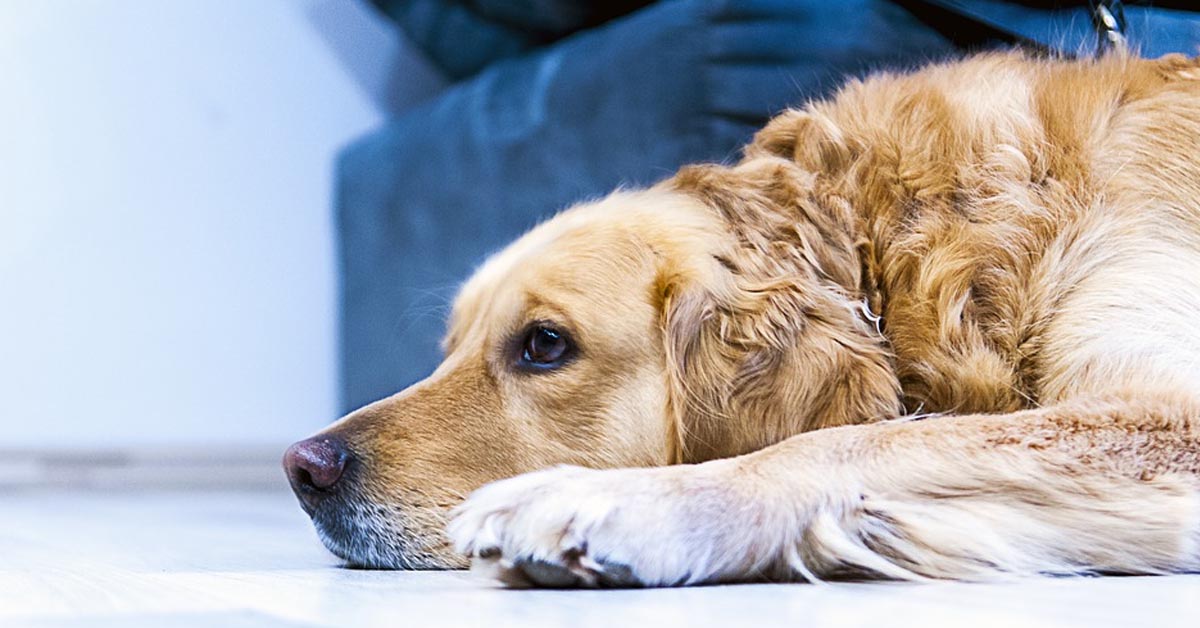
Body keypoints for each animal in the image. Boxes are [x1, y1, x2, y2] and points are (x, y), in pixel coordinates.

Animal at [285, 51, 1200, 588]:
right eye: (449, 348)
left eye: (544, 345)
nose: (303, 468)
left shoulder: (1172, 414)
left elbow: (855, 440)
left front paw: (611, 502)